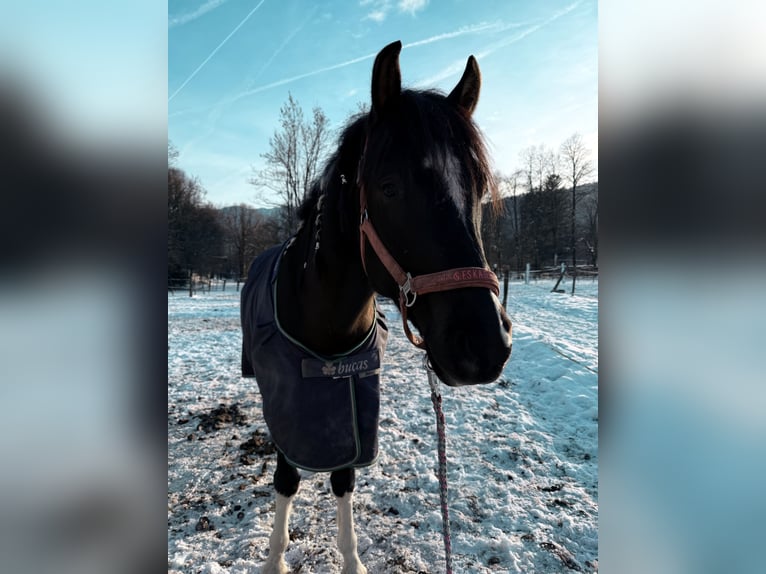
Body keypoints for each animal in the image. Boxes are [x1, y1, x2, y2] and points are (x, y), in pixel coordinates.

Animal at [241, 40, 512, 574]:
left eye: (477, 188)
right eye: (389, 187)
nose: (486, 346)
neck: (327, 328)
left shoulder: (351, 412)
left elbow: (343, 478)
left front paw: (351, 559)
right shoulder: (286, 408)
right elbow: (287, 478)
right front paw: (275, 560)